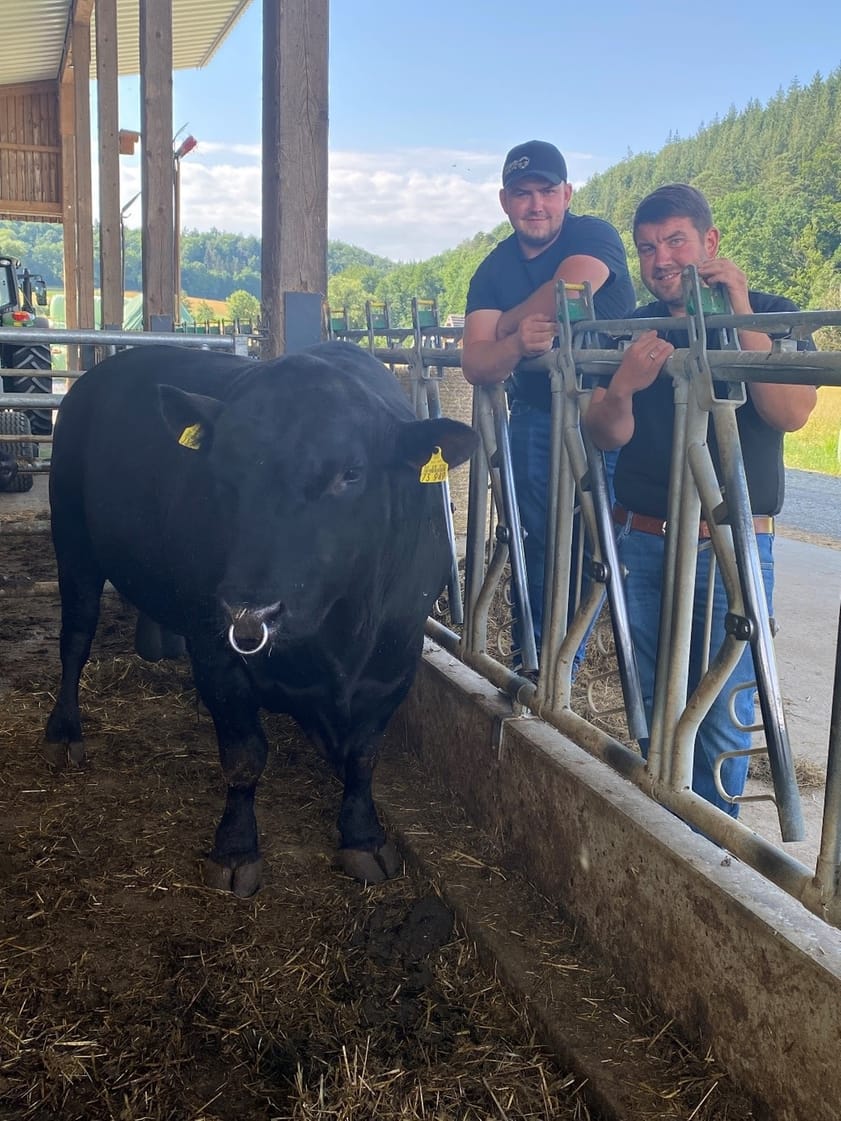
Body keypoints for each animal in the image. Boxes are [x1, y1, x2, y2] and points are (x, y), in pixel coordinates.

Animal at [44, 340, 479, 892]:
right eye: (221, 470)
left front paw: (363, 838)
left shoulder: (397, 657)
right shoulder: (218, 656)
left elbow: (364, 754)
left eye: (351, 473)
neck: (336, 638)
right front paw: (235, 849)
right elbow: (244, 755)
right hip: (72, 540)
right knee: (75, 637)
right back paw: (64, 732)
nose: (250, 610)